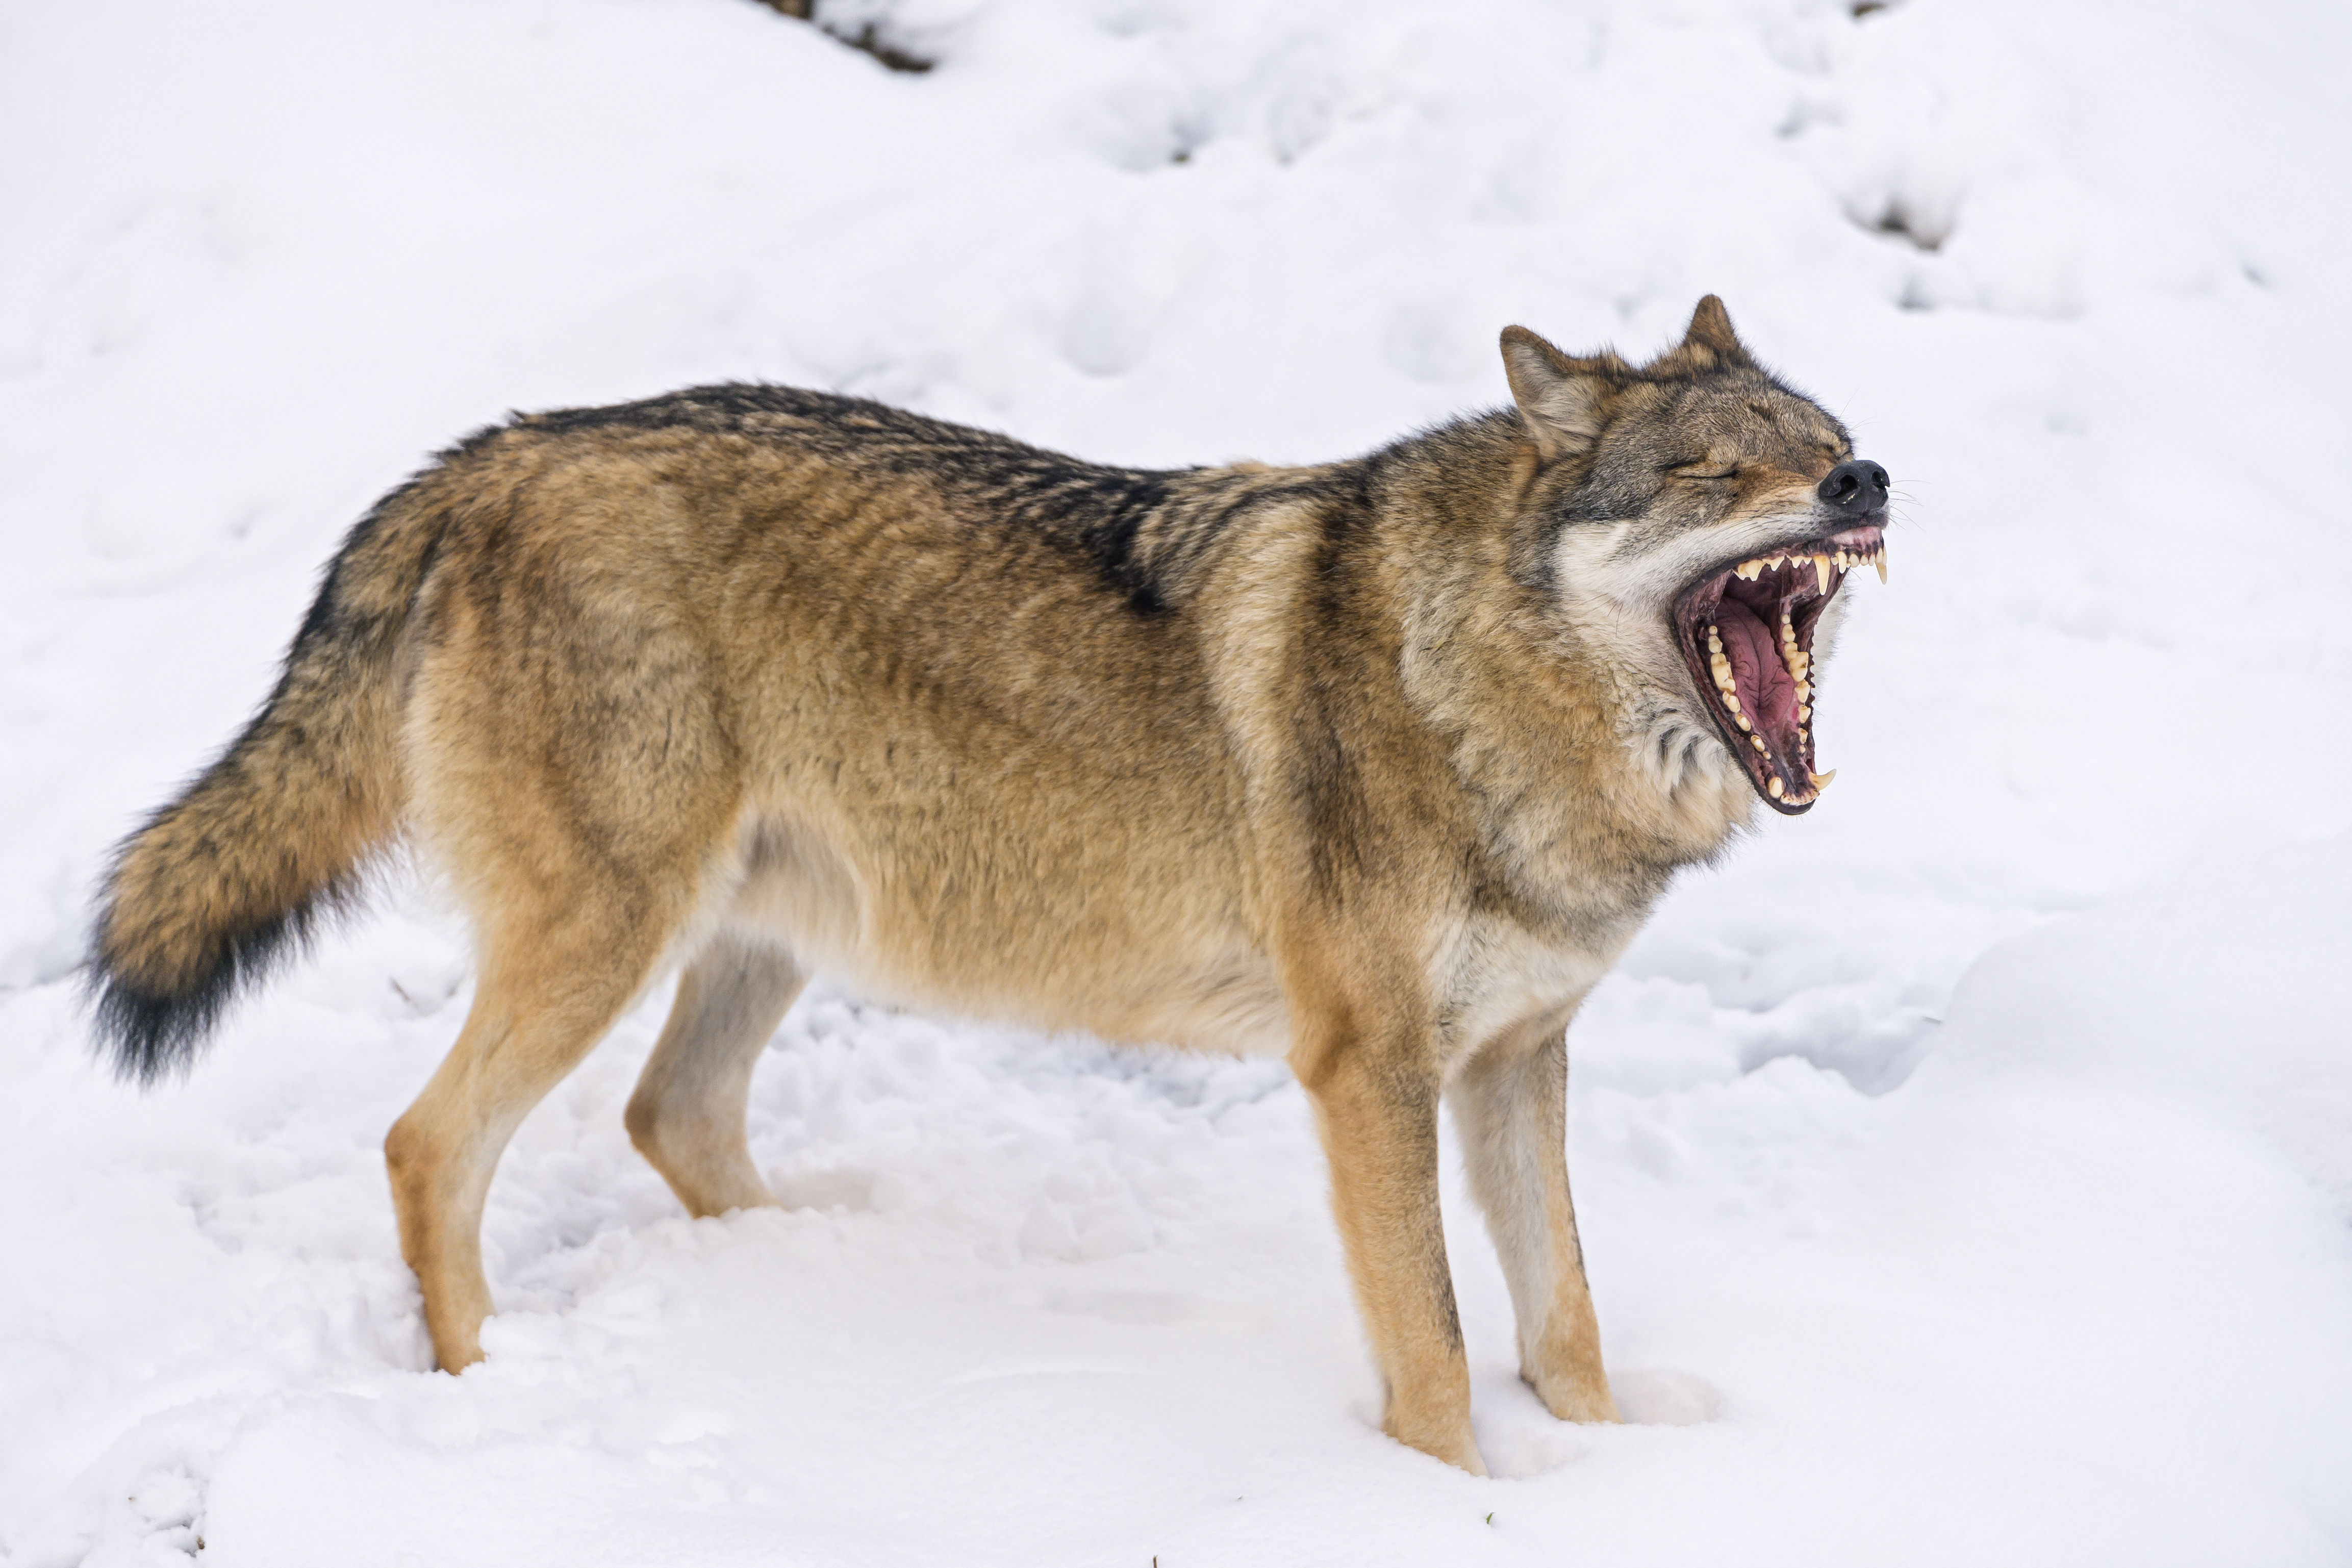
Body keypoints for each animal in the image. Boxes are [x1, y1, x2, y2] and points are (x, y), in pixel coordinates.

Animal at [87, 297, 1891, 1485]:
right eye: (1712, 472)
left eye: (1823, 445)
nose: (1865, 485)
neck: (1477, 687)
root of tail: (490, 452)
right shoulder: (1366, 1069)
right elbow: (1441, 1354)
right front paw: (1458, 1508)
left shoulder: (1516, 1057)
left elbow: (1564, 1319)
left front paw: (1620, 1473)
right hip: (611, 935)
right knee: (429, 1143)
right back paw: (487, 1395)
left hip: (765, 937)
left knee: (672, 1118)